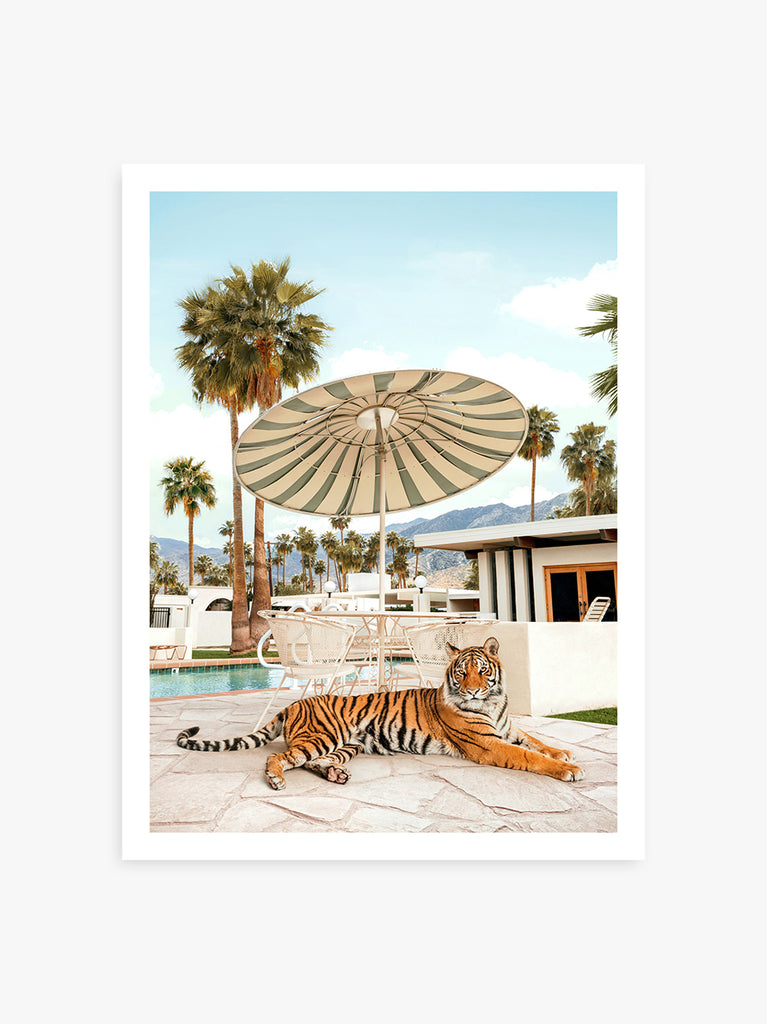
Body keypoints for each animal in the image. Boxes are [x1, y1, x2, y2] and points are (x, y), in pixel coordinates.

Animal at [176, 637, 584, 790]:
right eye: (460, 672)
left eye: (482, 670)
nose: (471, 690)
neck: (492, 702)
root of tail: (294, 703)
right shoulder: (489, 745)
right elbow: (529, 756)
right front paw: (569, 769)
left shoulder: (508, 729)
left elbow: (538, 741)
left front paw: (564, 753)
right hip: (325, 734)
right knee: (281, 757)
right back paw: (276, 779)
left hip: (348, 744)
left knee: (312, 761)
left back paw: (336, 775)